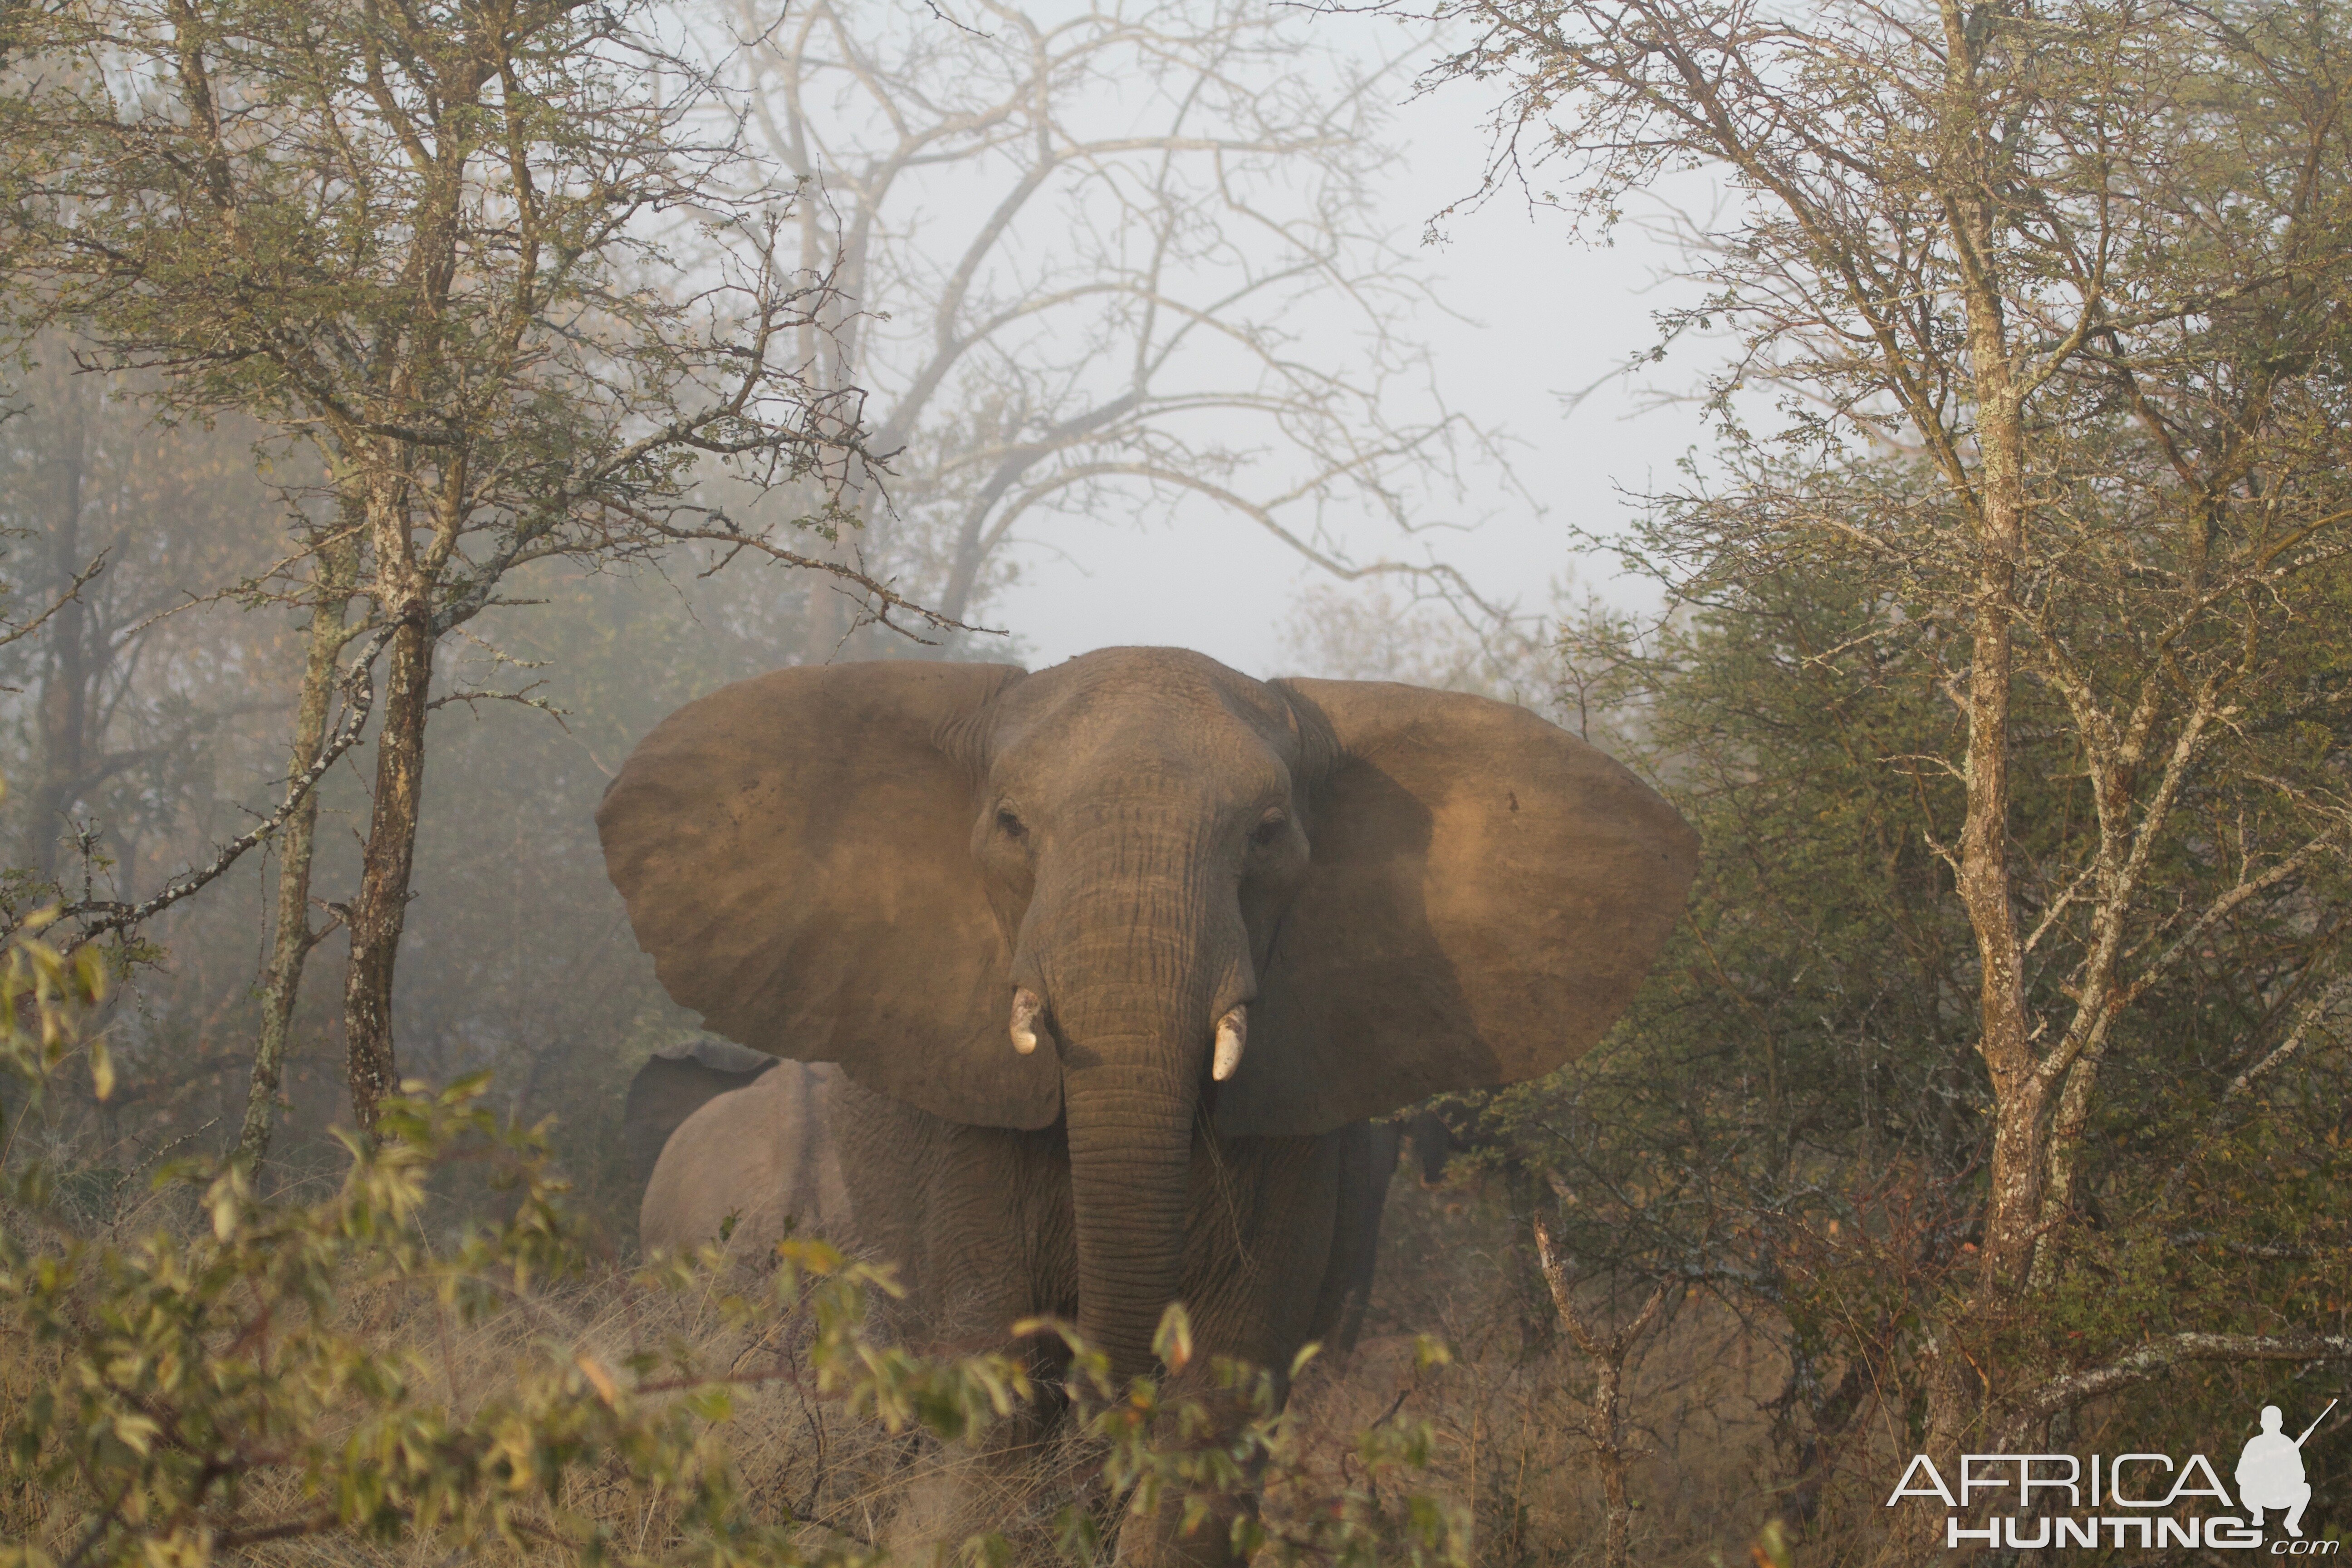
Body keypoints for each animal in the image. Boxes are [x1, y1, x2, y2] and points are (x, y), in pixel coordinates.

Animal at [588, 649, 1693, 1561]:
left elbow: (1213, 1408)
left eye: (1267, 835)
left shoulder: (1296, 1137)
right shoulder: (967, 1140)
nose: (1100, 1401)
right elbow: (996, 1390)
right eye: (1011, 827)